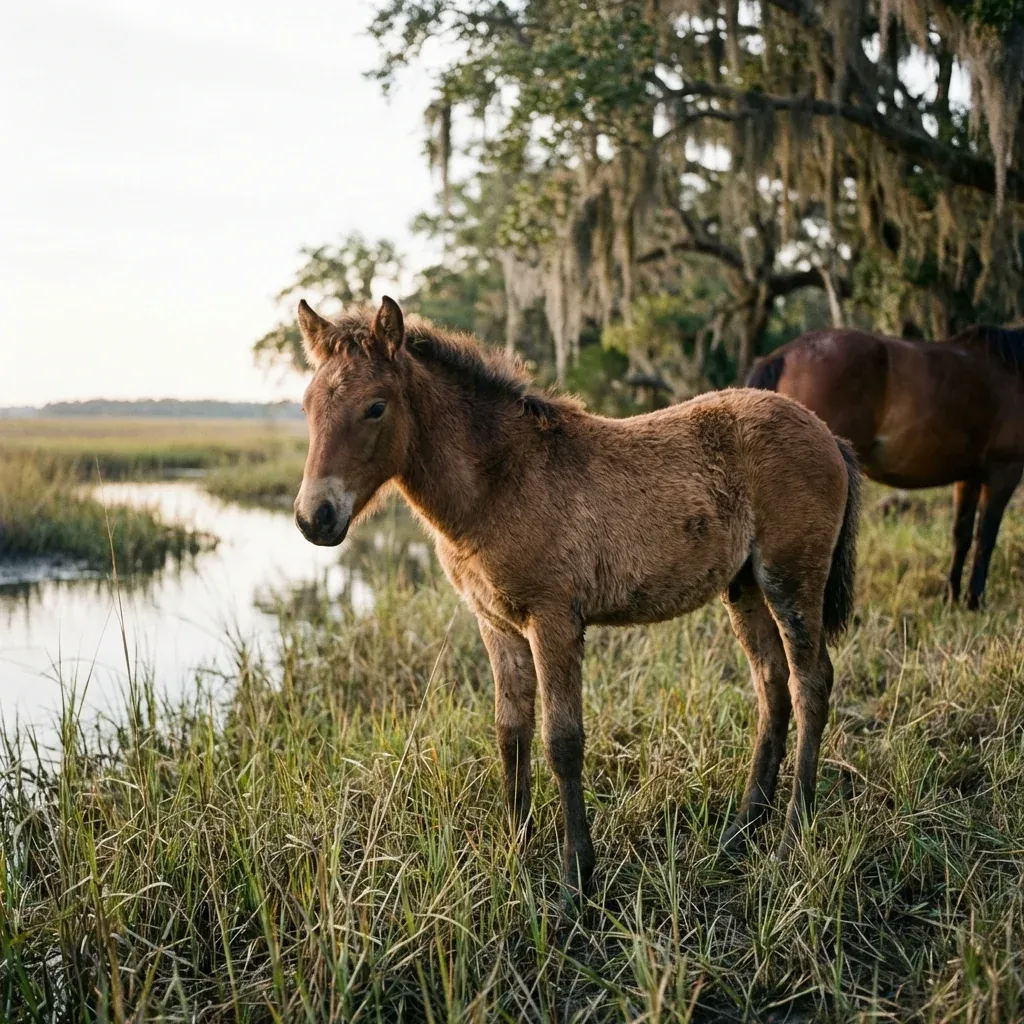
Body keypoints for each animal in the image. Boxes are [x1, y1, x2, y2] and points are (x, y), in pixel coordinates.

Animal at [293, 296, 860, 896]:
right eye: (306, 405)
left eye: (375, 407)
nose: (314, 517)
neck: (501, 482)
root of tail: (828, 435)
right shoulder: (495, 623)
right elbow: (510, 732)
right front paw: (517, 853)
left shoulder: (554, 620)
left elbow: (562, 741)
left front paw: (575, 881)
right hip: (745, 587)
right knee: (771, 683)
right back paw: (743, 830)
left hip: (791, 577)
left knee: (809, 682)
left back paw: (793, 833)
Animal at [747, 325, 1024, 609]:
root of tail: (783, 355)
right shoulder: (1004, 471)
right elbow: (986, 538)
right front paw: (974, 601)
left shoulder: (970, 476)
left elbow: (963, 536)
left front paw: (952, 597)